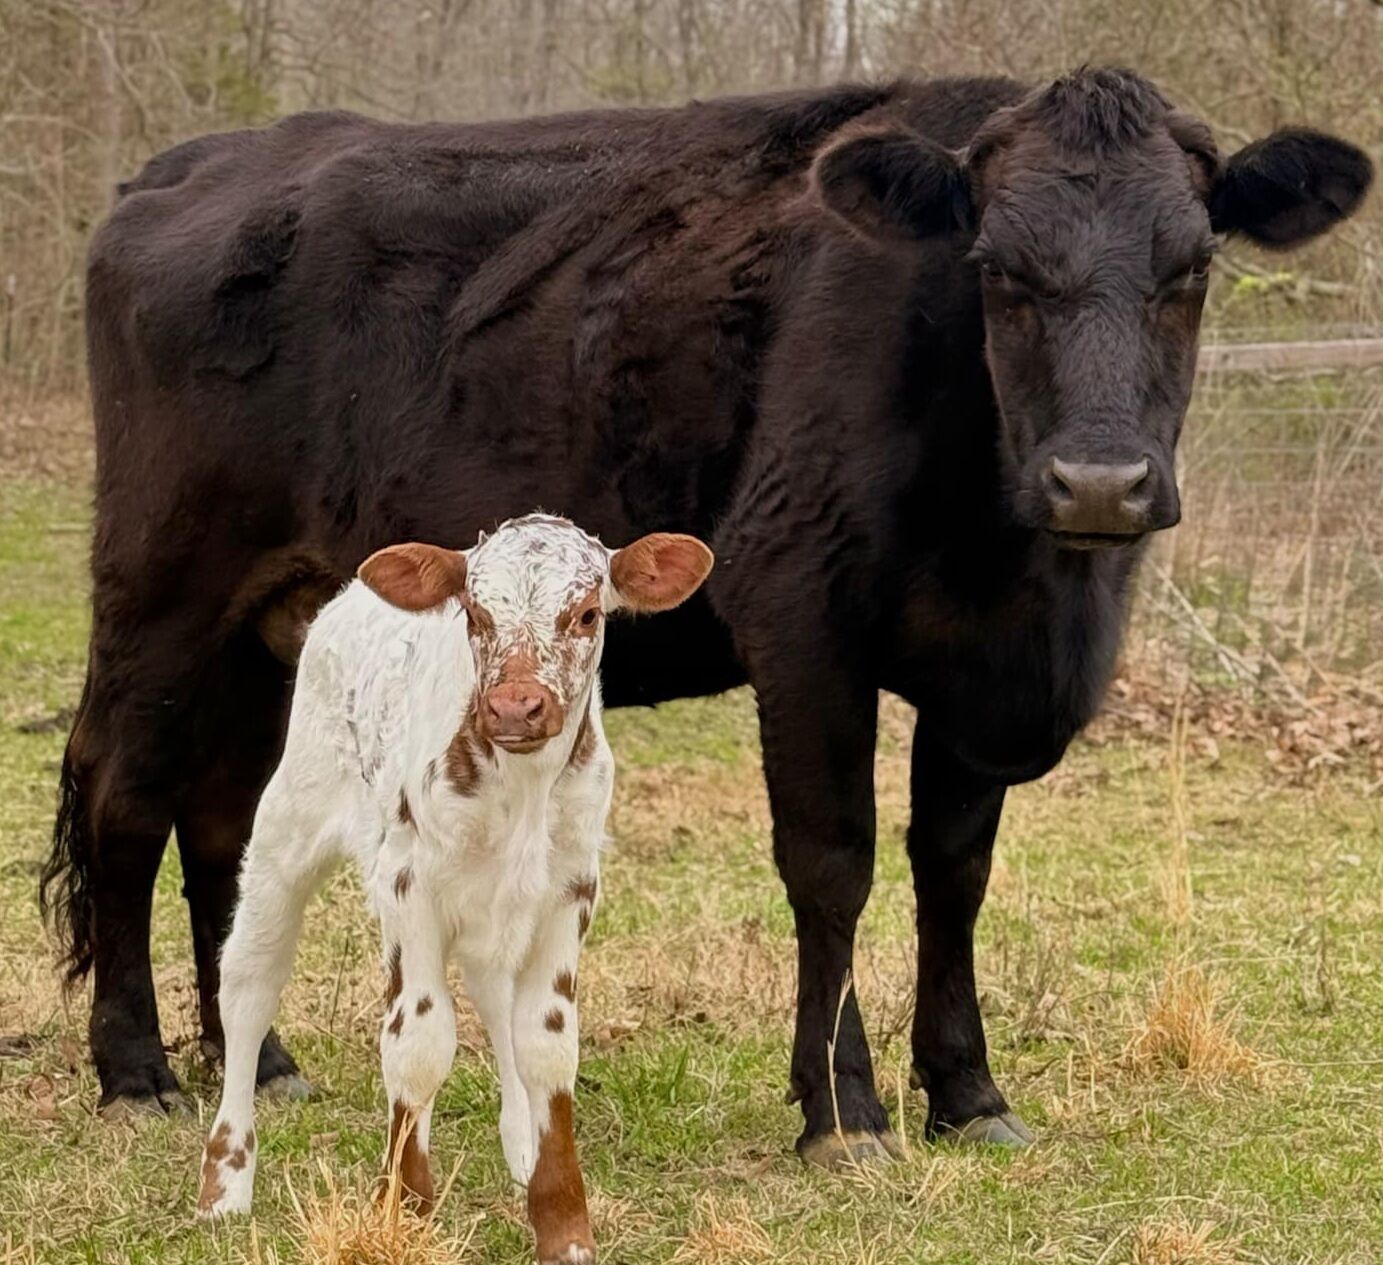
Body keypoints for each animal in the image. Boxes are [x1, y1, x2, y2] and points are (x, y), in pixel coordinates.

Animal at [42, 67, 1370, 1167]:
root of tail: (181, 167)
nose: (1098, 482)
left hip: (276, 628)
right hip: (163, 590)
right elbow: (832, 861)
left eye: (1191, 268)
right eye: (996, 267)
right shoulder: (801, 614)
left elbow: (954, 869)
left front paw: (969, 1092)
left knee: (230, 821)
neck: (1030, 585)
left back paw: (258, 1058)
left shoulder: (975, 670)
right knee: (127, 801)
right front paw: (844, 1110)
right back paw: (138, 1071)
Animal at [194, 514, 712, 1262]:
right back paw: (225, 1182)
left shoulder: (570, 890)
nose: (515, 707)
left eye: (586, 614)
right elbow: (416, 1044)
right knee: (249, 987)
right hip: (286, 828)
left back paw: (516, 1143)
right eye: (475, 612)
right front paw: (401, 1212)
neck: (520, 791)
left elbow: (545, 1042)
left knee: (490, 996)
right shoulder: (408, 884)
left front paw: (562, 1223)